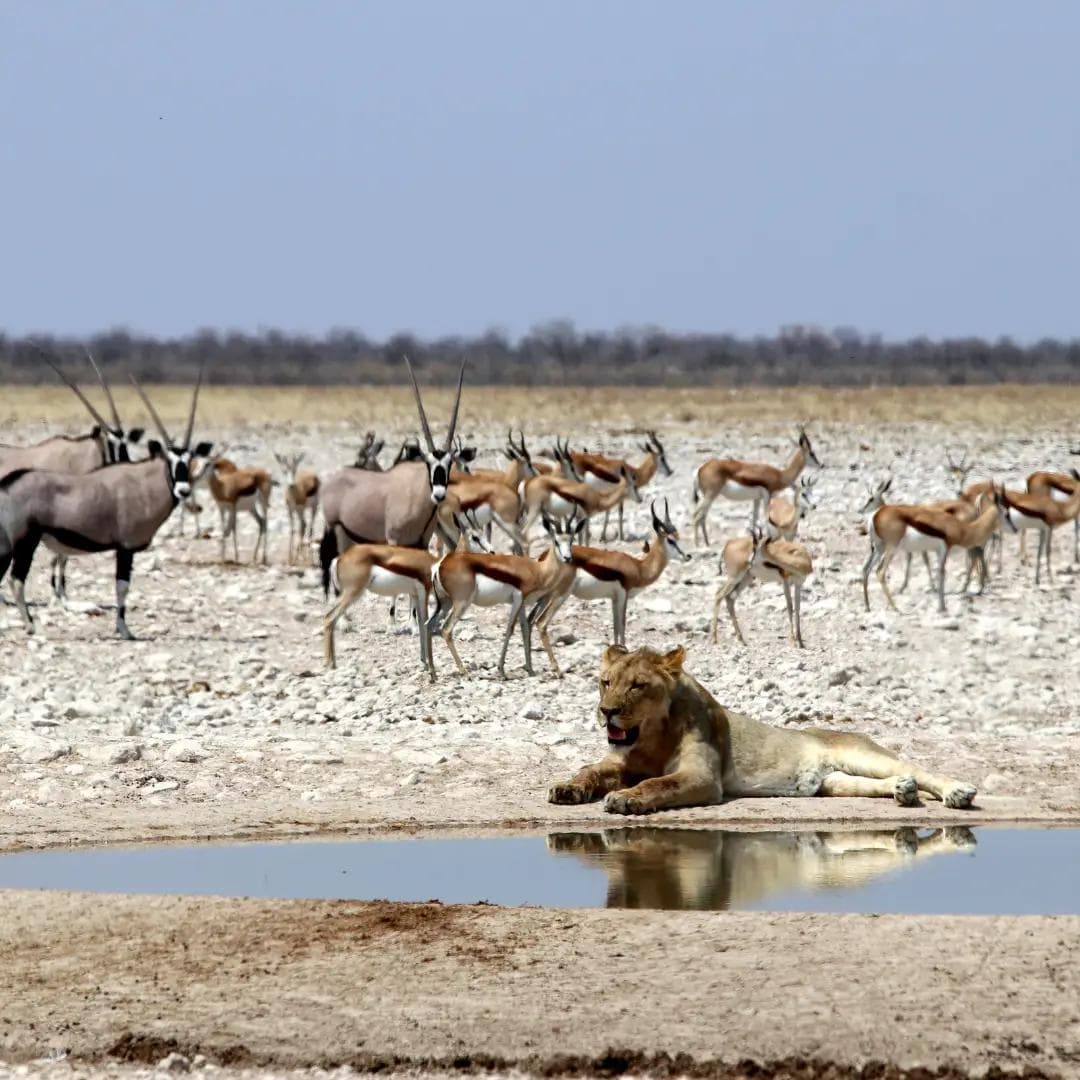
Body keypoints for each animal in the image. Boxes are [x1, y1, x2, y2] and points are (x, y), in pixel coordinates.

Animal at [547, 644, 977, 815]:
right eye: (605, 682)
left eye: (636, 686)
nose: (607, 712)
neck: (652, 736)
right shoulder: (620, 761)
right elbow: (589, 771)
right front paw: (565, 789)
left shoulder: (702, 777)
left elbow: (658, 784)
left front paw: (624, 799)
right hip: (833, 783)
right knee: (876, 783)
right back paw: (903, 791)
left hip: (863, 753)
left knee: (920, 770)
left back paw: (957, 792)